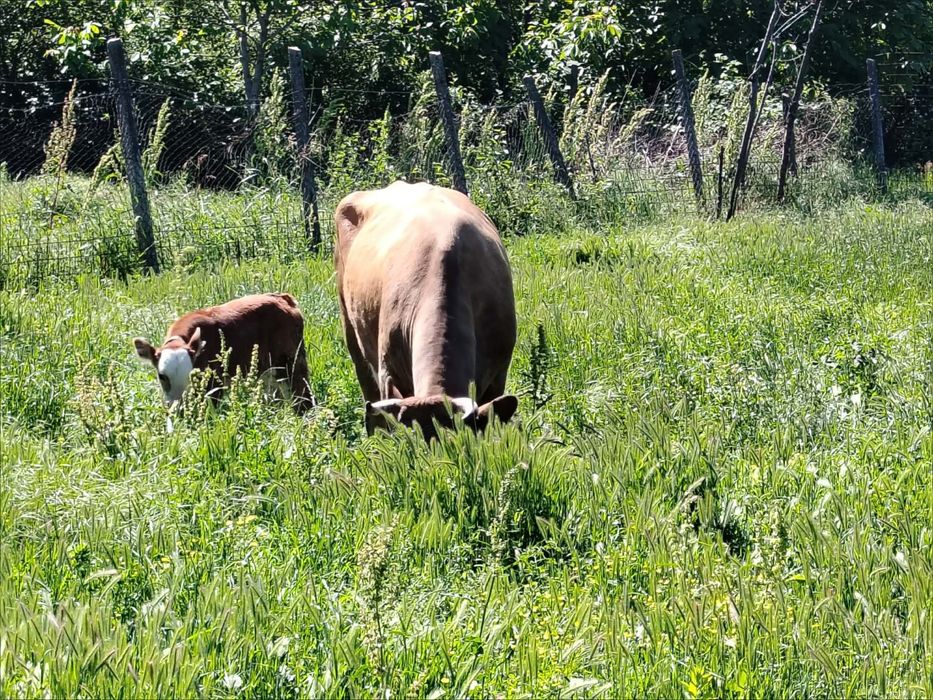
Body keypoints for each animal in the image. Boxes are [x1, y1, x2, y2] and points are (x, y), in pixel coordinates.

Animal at [133, 292, 312, 412]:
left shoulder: (214, 383)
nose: (180, 408)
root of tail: (282, 298)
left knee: (303, 394)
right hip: (269, 370)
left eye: (192, 376)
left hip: (293, 361)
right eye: (162, 376)